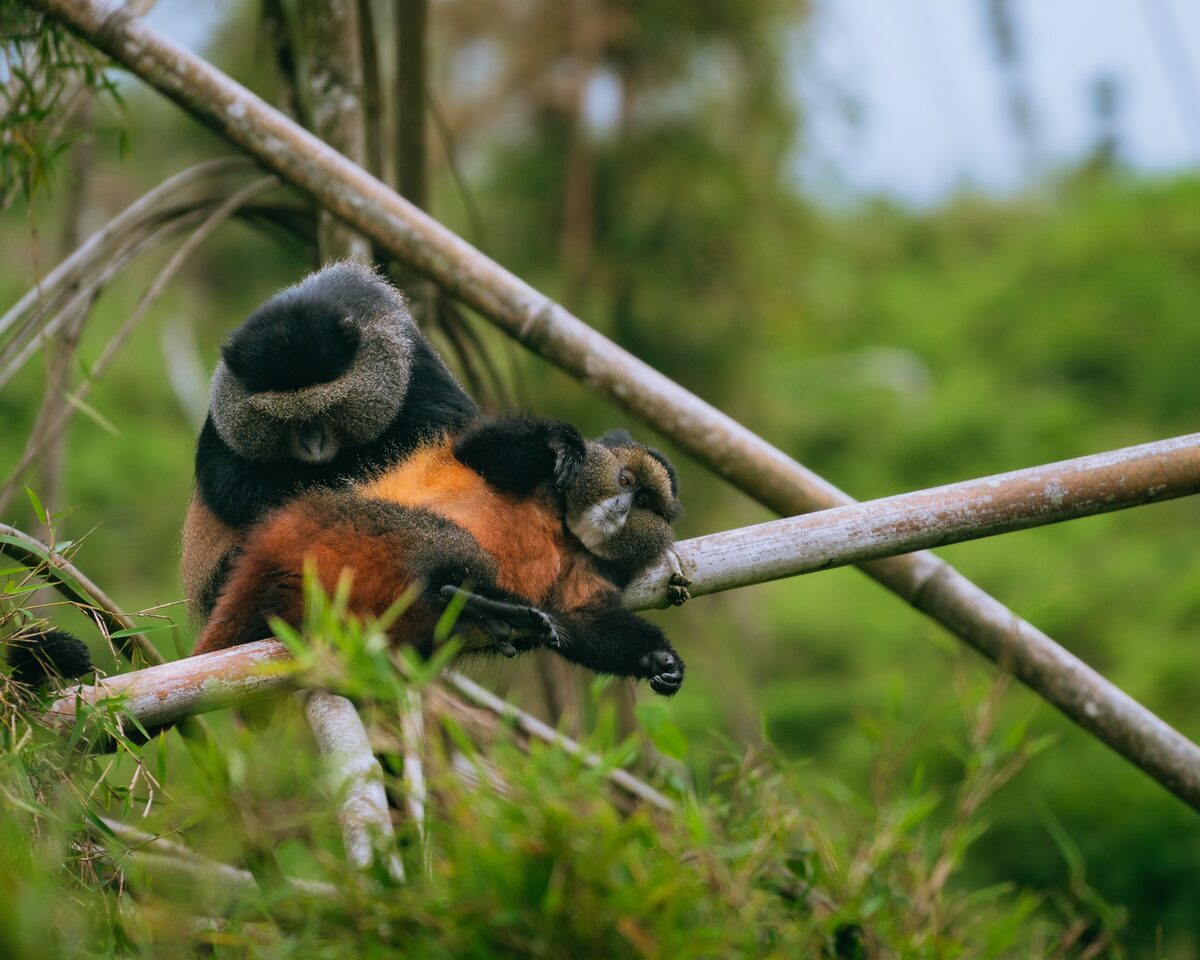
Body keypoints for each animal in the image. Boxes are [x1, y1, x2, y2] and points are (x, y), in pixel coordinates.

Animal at [182, 261, 479, 618]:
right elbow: (228, 483)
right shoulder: (226, 409)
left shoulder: (413, 365)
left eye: (328, 408)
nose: (313, 444)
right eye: (280, 420)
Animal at [192, 416, 689, 695]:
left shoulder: (591, 565)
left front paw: (660, 661)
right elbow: (482, 450)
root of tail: (269, 544)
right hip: (342, 524)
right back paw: (473, 597)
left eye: (646, 503)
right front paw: (560, 442)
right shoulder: (539, 476)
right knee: (439, 548)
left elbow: (583, 618)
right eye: (625, 481)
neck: (568, 528)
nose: (622, 506)